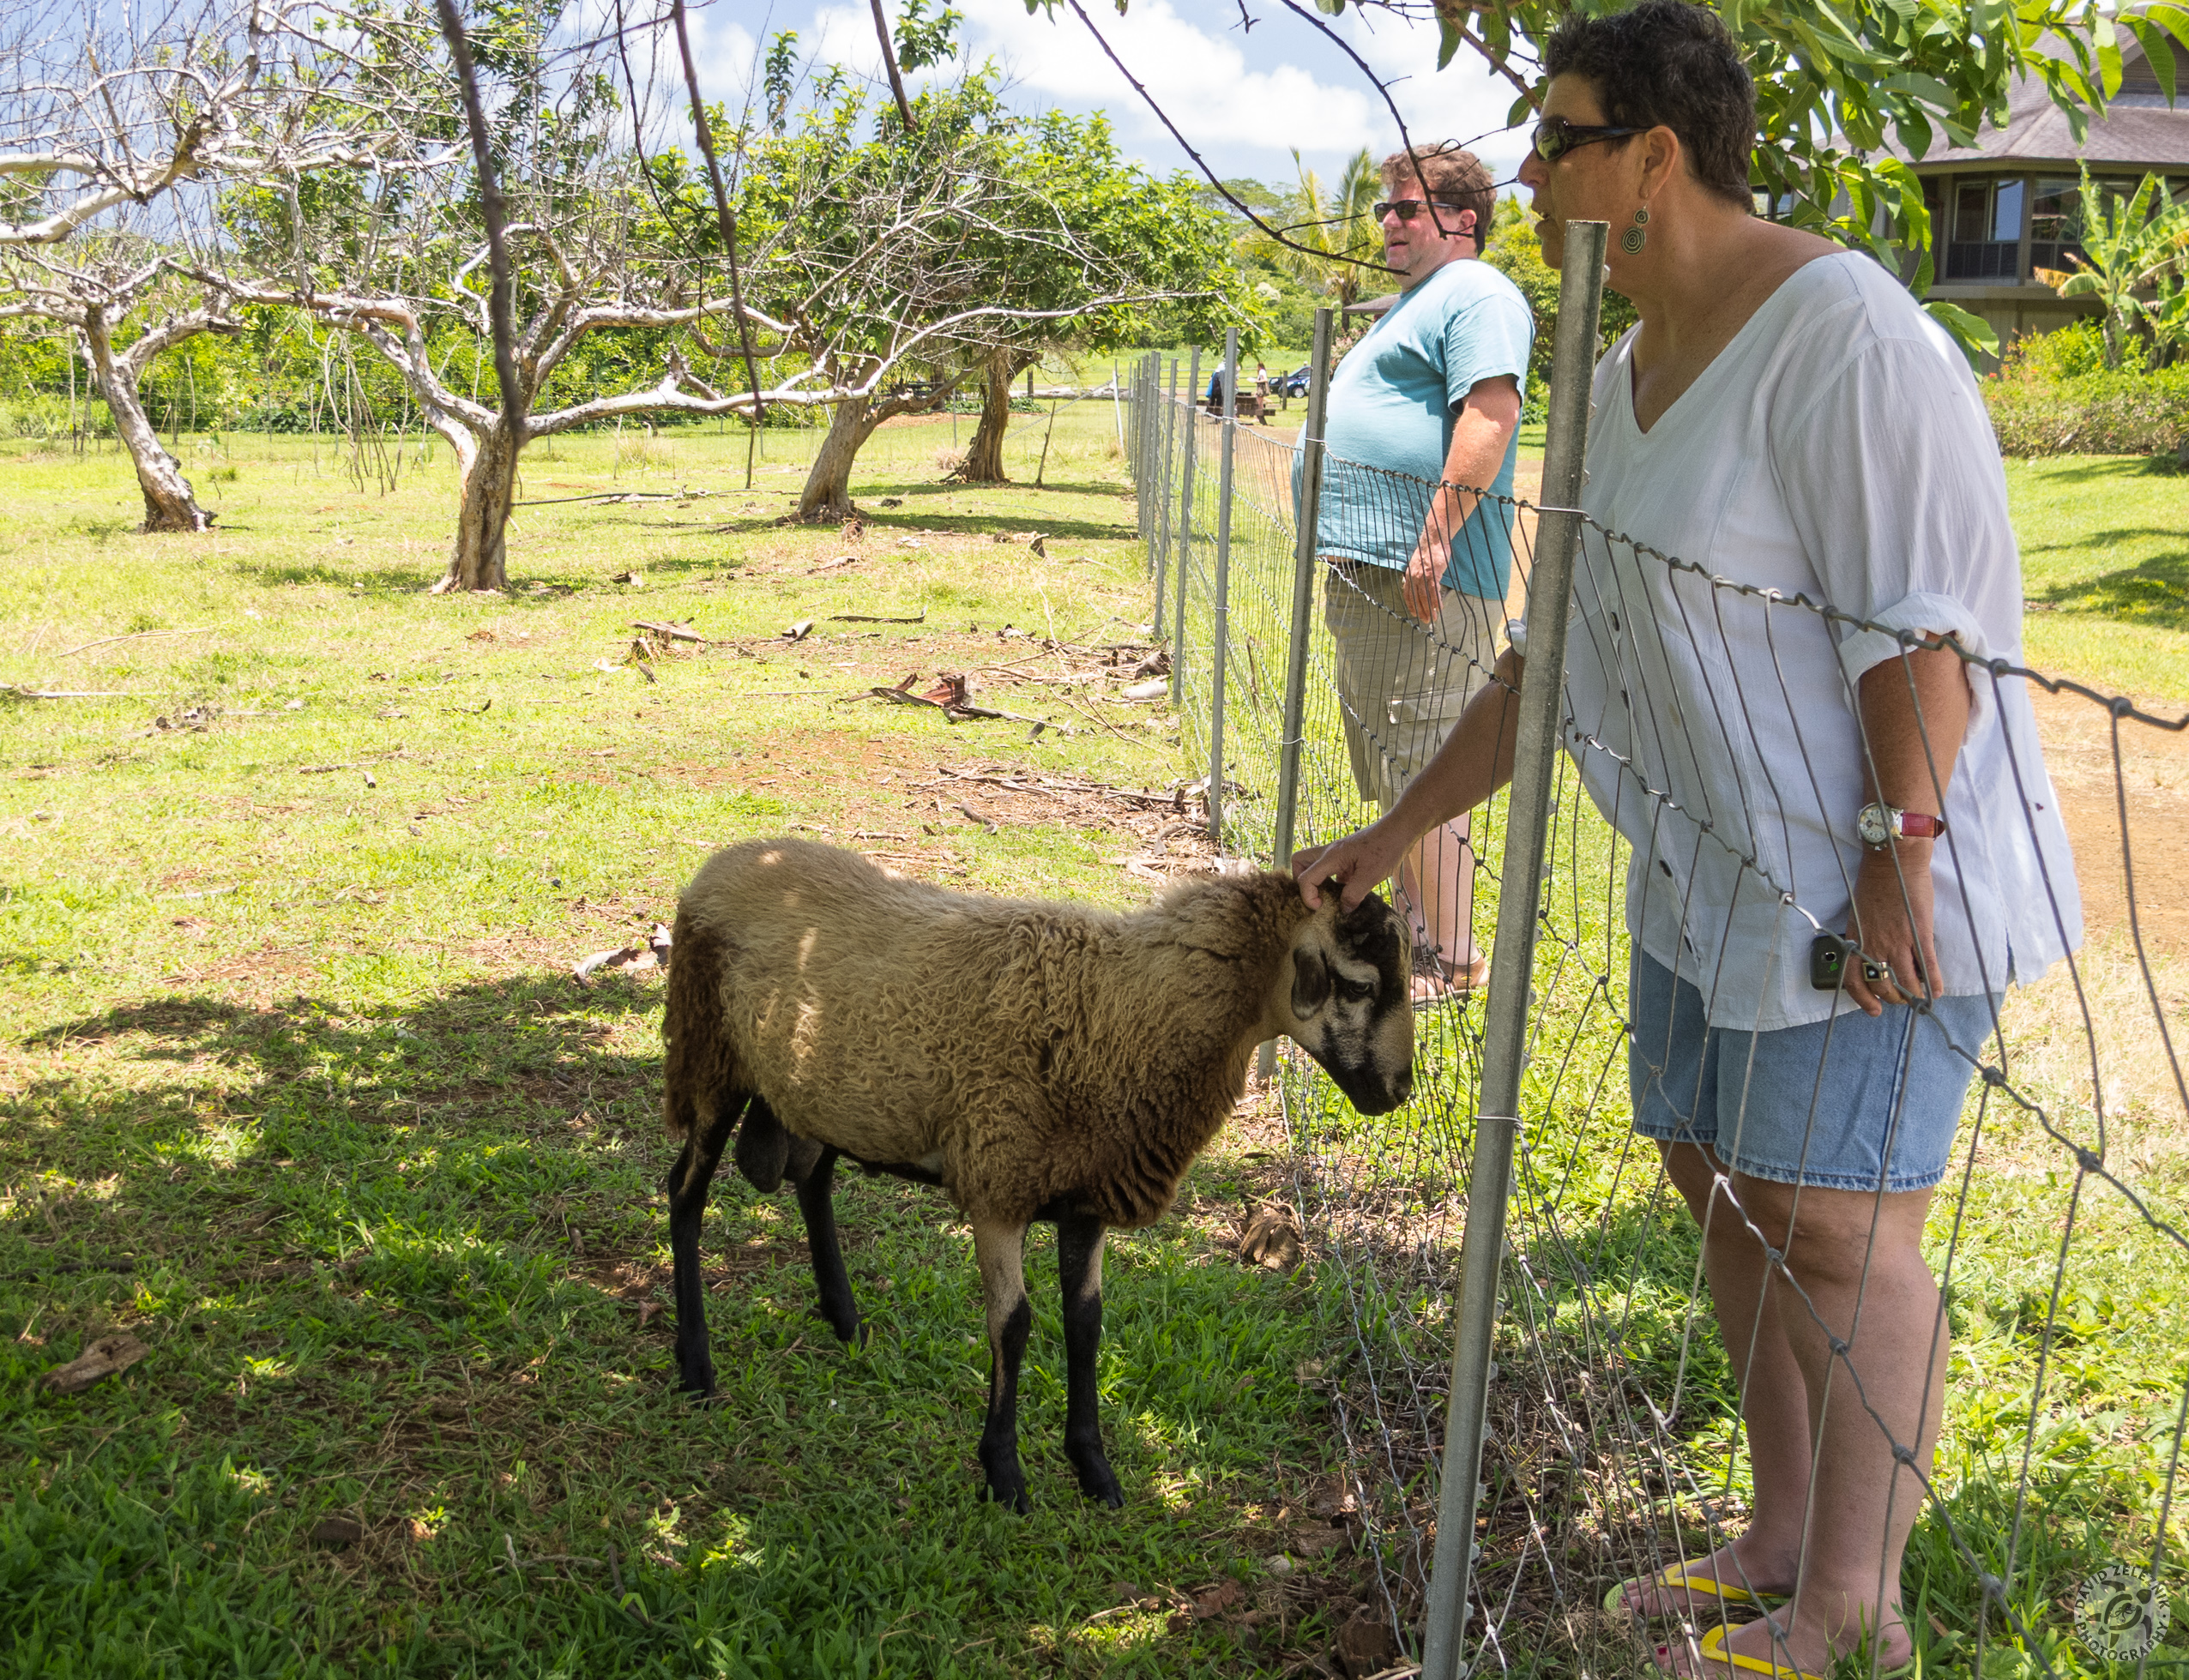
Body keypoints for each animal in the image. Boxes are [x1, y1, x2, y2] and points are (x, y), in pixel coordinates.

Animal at [656, 840, 1409, 1504]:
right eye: (1357, 984)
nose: (1399, 1091)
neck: (1127, 1011)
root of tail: (724, 863)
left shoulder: (1088, 1197)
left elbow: (1087, 1322)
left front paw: (1094, 1469)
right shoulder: (998, 1184)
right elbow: (1013, 1325)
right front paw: (1004, 1473)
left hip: (822, 1090)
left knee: (811, 1178)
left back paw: (846, 1321)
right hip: (710, 1053)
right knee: (685, 1192)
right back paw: (695, 1364)